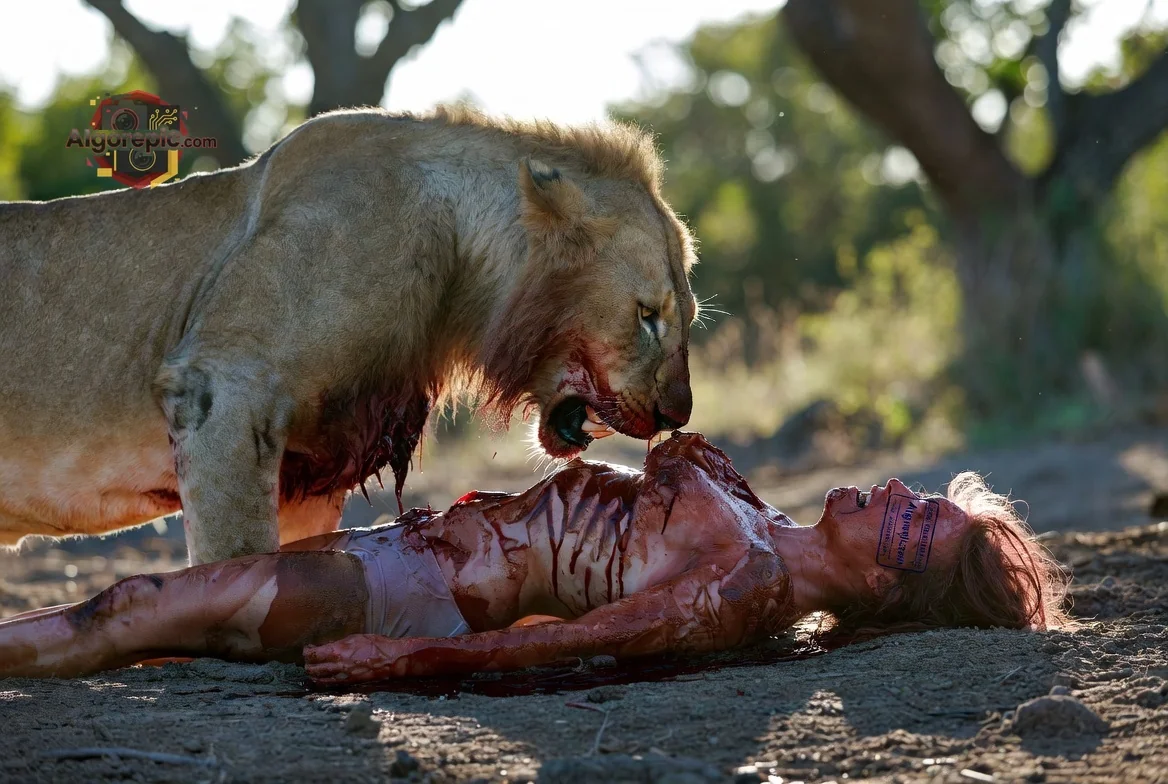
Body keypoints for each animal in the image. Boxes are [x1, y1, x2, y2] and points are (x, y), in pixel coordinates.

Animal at [0, 106, 697, 564]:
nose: (678, 413)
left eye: (687, 312)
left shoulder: (312, 465)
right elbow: (236, 554)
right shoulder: (221, 385)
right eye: (648, 314)